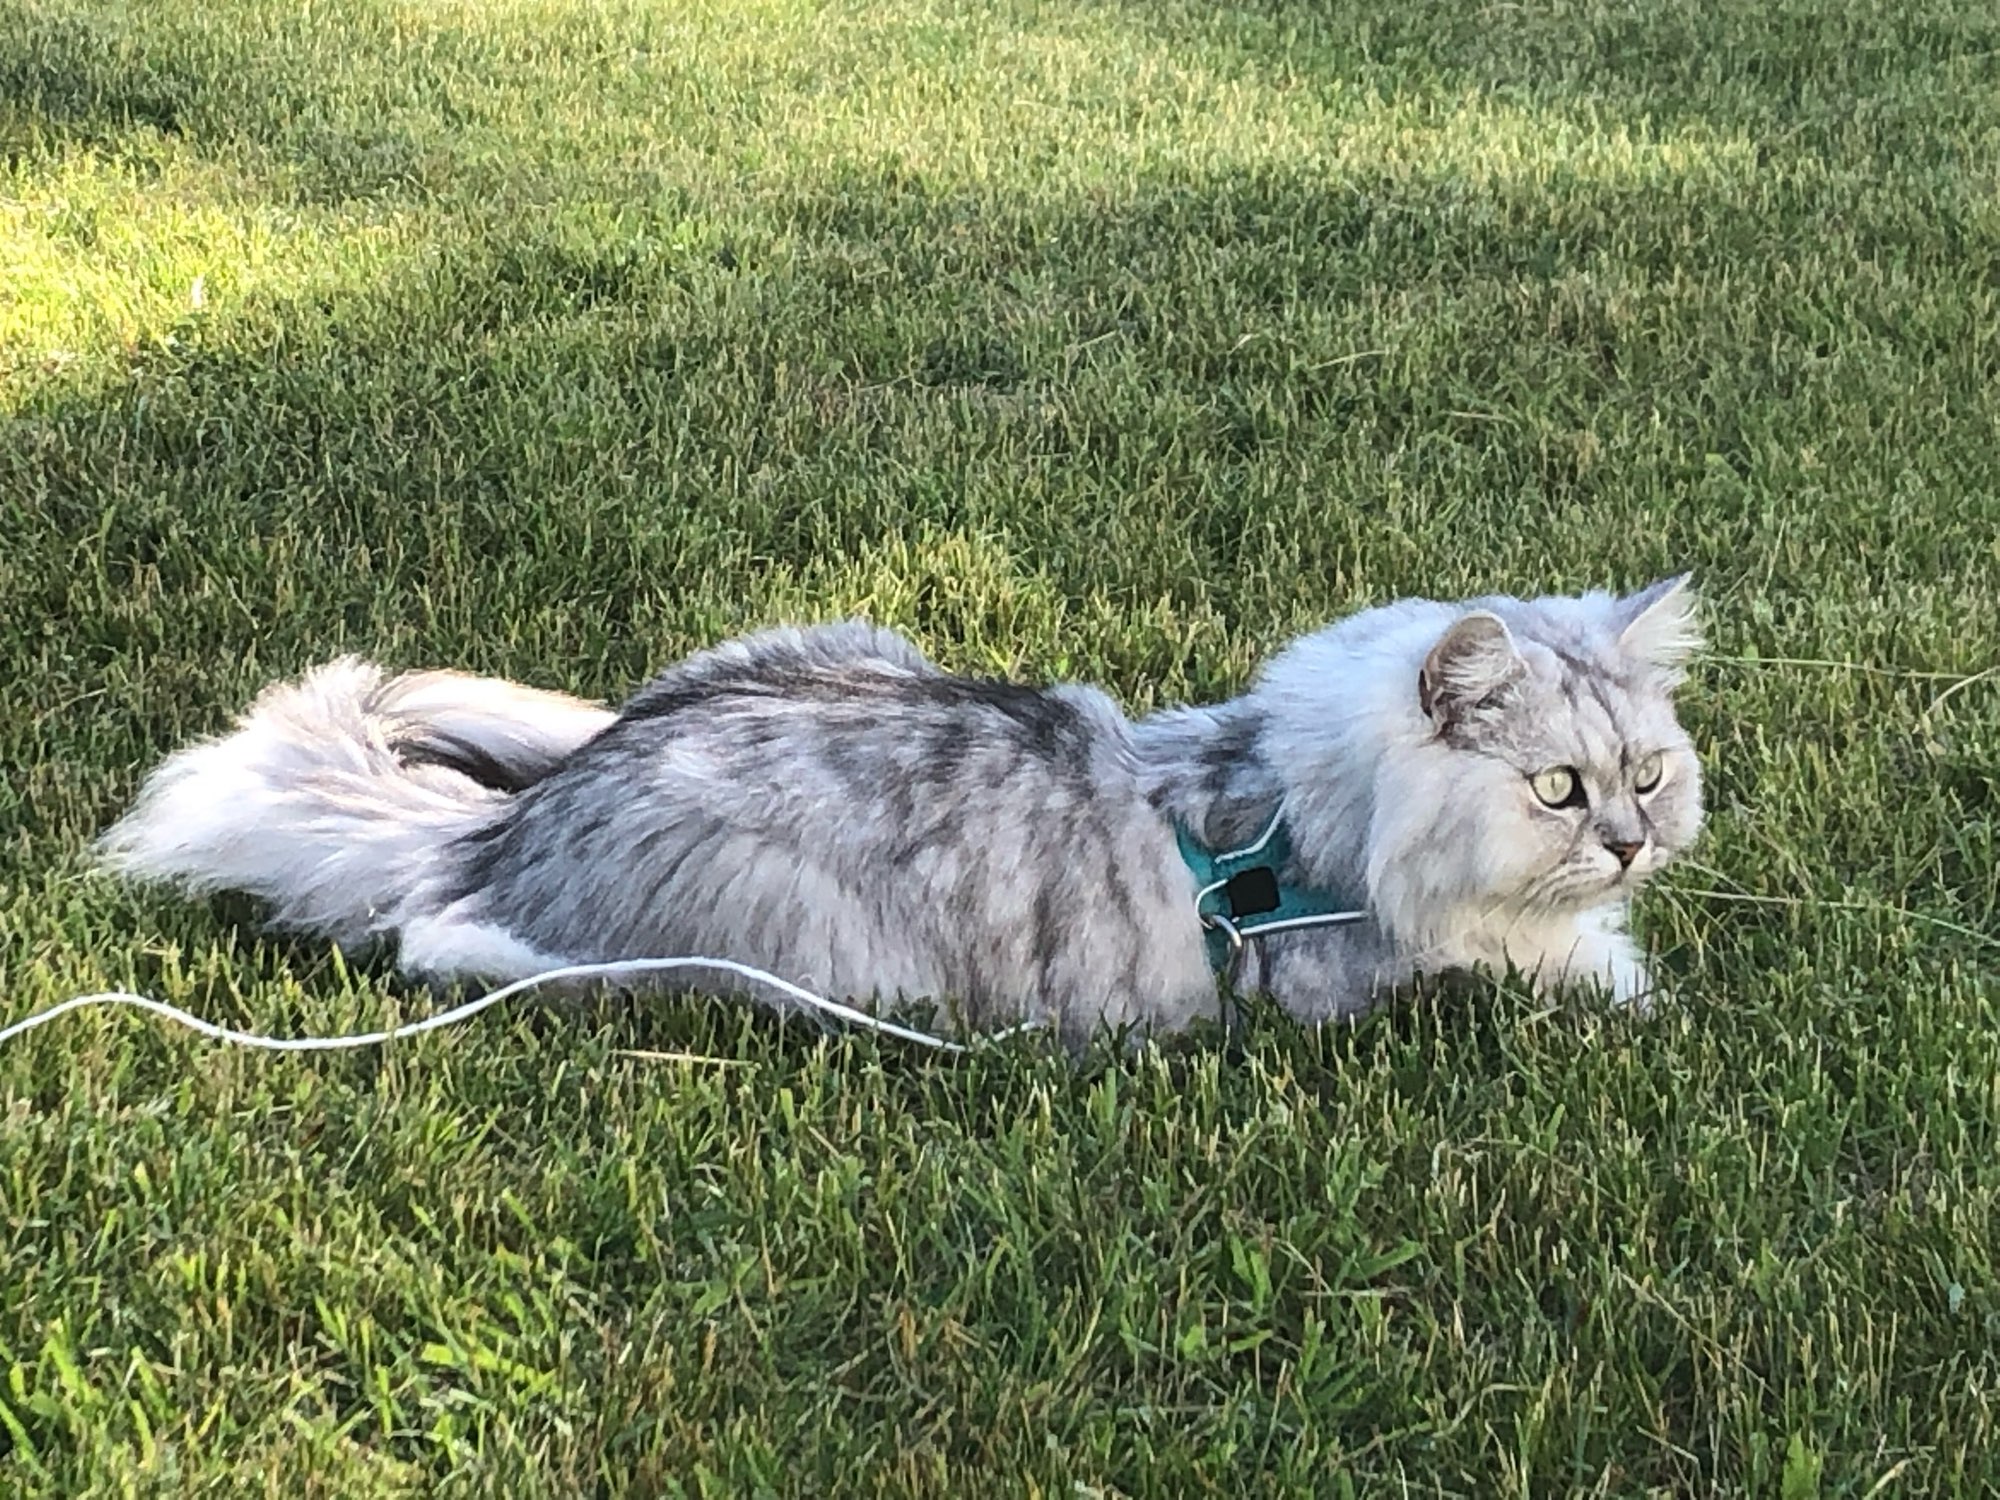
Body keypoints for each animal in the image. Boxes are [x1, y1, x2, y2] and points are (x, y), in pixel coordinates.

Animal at [99, 576, 1703, 1046]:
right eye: (1555, 788)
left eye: (1647, 775)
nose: (1629, 842)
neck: (1285, 801)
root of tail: (515, 822)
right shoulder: (1384, 982)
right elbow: (1581, 975)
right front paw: (1628, 978)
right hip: (787, 954)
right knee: (442, 943)